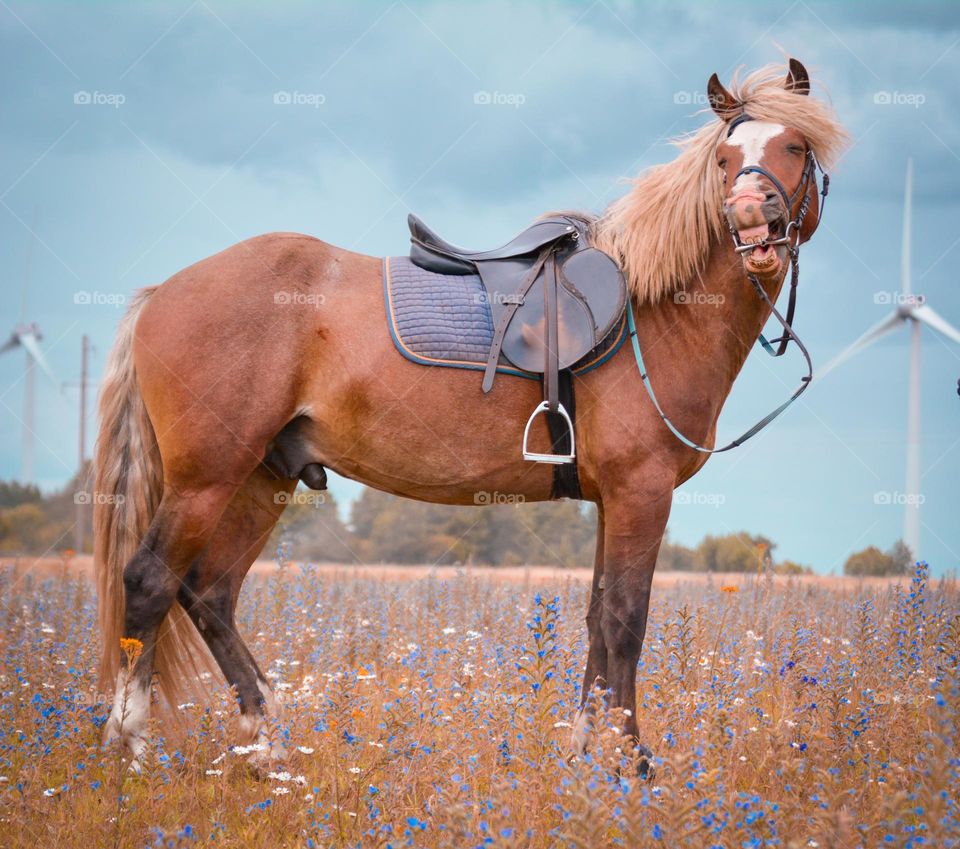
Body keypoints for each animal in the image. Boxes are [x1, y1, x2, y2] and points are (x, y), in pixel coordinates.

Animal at [94, 59, 848, 769]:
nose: (750, 216)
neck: (651, 308)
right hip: (207, 480)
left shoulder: (613, 499)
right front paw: (633, 764)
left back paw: (268, 744)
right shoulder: (642, 492)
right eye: (725, 157)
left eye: (794, 144)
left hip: (261, 478)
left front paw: (585, 756)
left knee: (210, 593)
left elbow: (597, 618)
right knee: (151, 582)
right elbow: (626, 621)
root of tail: (164, 291)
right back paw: (130, 747)